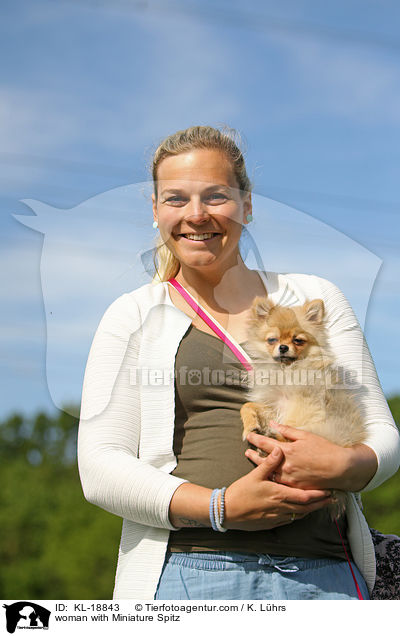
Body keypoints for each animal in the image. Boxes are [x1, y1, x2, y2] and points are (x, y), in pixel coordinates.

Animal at [241, 296, 366, 520]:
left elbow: (289, 425)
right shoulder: (274, 405)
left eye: (298, 340)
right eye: (272, 340)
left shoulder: (305, 402)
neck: (285, 370)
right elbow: (248, 406)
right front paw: (250, 426)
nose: (283, 347)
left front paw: (276, 436)